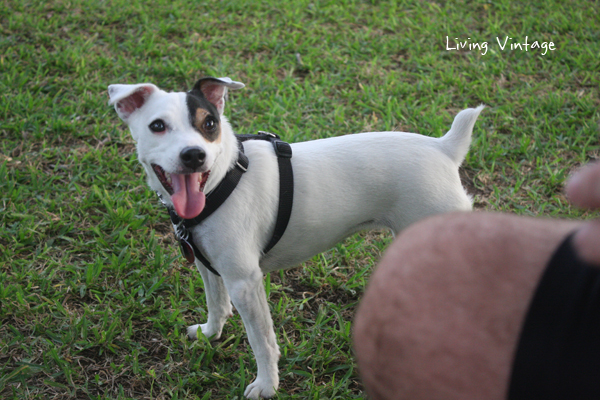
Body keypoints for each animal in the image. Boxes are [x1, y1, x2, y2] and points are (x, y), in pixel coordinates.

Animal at [108, 76, 482, 398]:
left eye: (210, 124)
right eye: (157, 126)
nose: (194, 155)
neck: (222, 179)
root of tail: (444, 148)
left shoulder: (245, 283)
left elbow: (262, 341)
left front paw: (266, 386)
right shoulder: (210, 266)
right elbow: (216, 302)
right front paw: (210, 333)